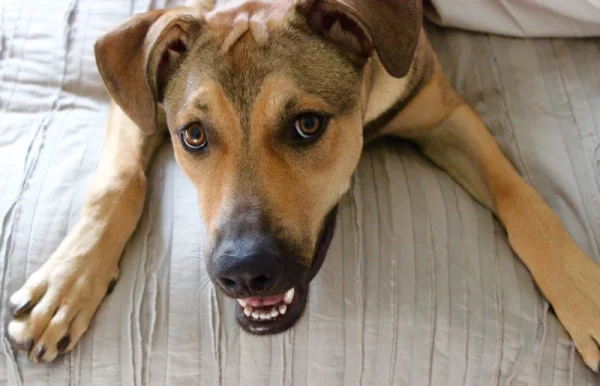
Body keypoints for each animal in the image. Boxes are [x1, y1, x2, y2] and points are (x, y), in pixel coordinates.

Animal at [7, 0, 600, 370]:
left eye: (308, 125)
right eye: (193, 135)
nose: (245, 273)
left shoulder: (443, 110)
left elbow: (522, 198)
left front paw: (583, 293)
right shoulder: (138, 99)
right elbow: (119, 183)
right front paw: (65, 286)